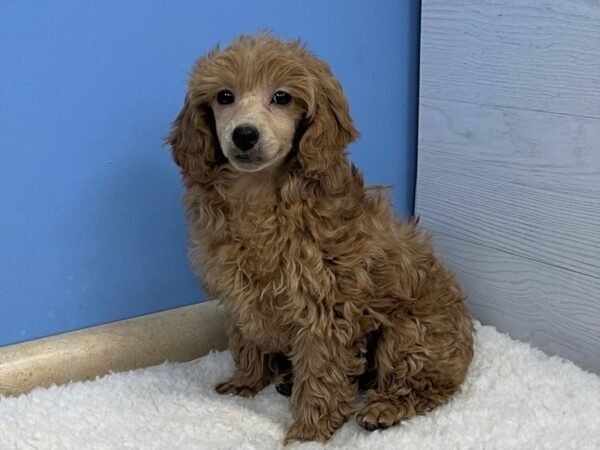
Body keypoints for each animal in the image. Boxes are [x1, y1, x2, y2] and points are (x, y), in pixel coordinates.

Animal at [169, 34, 474, 442]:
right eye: (224, 96)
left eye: (282, 97)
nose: (244, 134)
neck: (259, 193)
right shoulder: (239, 290)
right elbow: (246, 338)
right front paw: (246, 382)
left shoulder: (325, 302)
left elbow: (321, 366)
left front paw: (309, 431)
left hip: (411, 332)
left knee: (427, 384)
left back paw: (384, 408)